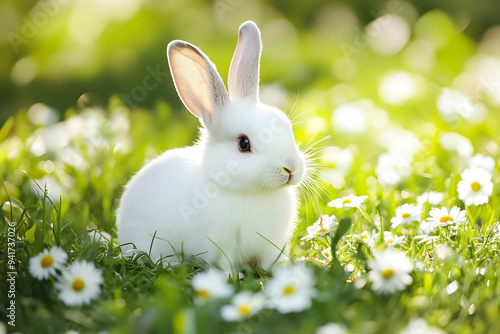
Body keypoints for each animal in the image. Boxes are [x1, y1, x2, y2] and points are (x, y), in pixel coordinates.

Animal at [117, 20, 304, 272]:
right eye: (244, 143)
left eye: (286, 125)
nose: (290, 168)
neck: (249, 192)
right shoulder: (220, 248)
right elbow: (224, 265)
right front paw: (231, 277)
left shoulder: (272, 248)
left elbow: (271, 262)